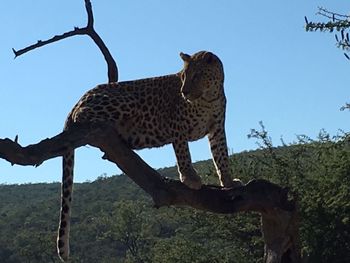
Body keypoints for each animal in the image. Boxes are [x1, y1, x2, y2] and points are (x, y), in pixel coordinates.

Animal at [58, 50, 243, 262]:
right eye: (183, 76)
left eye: (196, 75)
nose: (184, 92)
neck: (209, 97)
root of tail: (80, 98)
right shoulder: (177, 126)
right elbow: (183, 154)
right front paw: (190, 178)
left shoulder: (217, 129)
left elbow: (221, 156)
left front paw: (228, 181)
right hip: (124, 101)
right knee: (82, 115)